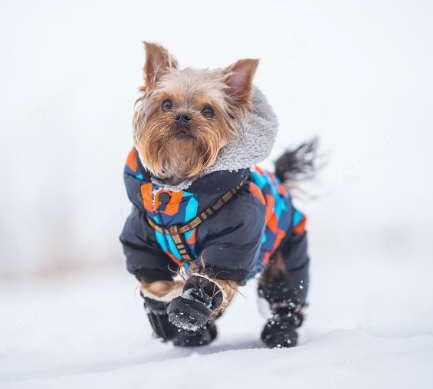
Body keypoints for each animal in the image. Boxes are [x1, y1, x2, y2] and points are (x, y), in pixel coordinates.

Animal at [120, 41, 316, 346]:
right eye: (166, 104)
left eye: (208, 111)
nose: (183, 116)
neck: (182, 188)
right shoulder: (142, 239)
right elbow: (154, 282)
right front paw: (167, 314)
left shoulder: (235, 241)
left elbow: (211, 278)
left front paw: (187, 310)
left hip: (290, 250)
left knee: (286, 293)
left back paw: (280, 333)